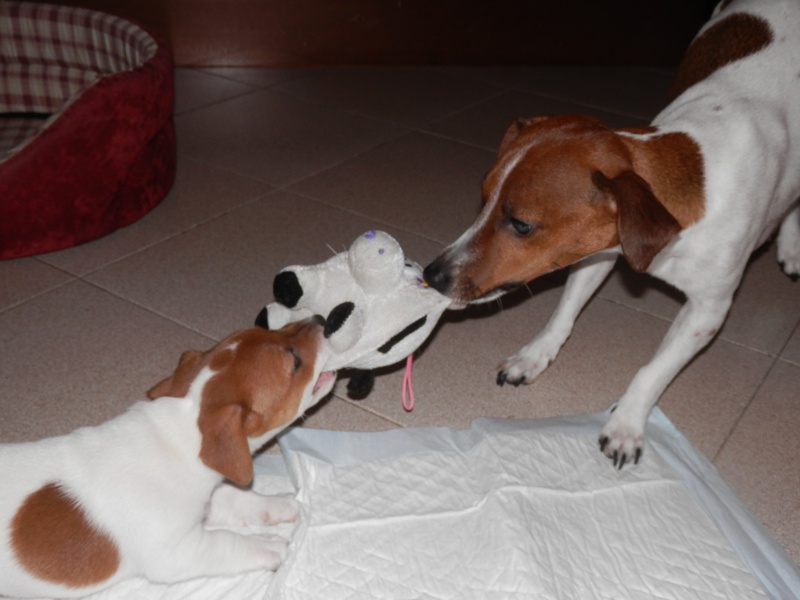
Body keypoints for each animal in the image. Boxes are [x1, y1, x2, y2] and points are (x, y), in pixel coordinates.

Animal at [0, 322, 336, 596]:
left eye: (271, 328)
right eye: (295, 361)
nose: (322, 319)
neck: (179, 432)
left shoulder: (206, 497)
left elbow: (236, 496)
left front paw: (277, 505)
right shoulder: (178, 553)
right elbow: (226, 541)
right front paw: (269, 544)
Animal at [422, 0, 796, 468]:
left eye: (521, 224)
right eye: (483, 199)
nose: (431, 275)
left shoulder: (708, 310)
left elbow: (653, 371)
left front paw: (626, 424)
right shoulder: (597, 252)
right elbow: (562, 314)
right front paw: (534, 356)